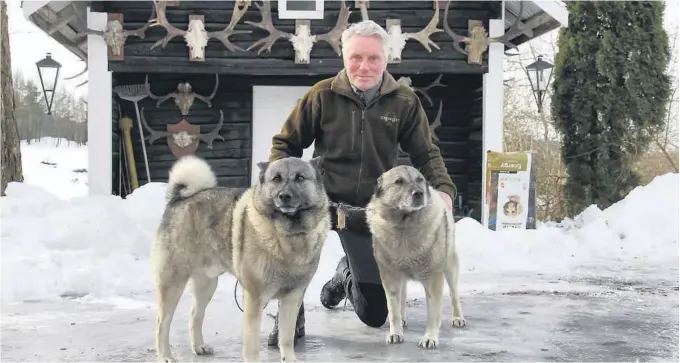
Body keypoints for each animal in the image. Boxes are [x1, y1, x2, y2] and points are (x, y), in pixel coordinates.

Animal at [150, 155, 330, 362]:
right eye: (276, 179)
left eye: (300, 178)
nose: (284, 196)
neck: (289, 235)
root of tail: (178, 199)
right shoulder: (254, 299)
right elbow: (252, 346)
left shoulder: (292, 299)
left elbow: (286, 338)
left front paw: (290, 359)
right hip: (172, 282)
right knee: (162, 323)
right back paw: (165, 355)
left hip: (207, 284)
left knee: (195, 315)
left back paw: (199, 347)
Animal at [366, 165, 468, 350]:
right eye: (399, 181)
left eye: (420, 180)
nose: (419, 193)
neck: (403, 226)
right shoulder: (390, 279)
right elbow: (393, 310)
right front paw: (395, 333)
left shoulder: (434, 280)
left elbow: (433, 314)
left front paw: (430, 337)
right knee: (402, 296)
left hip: (450, 267)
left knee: (454, 293)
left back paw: (458, 317)